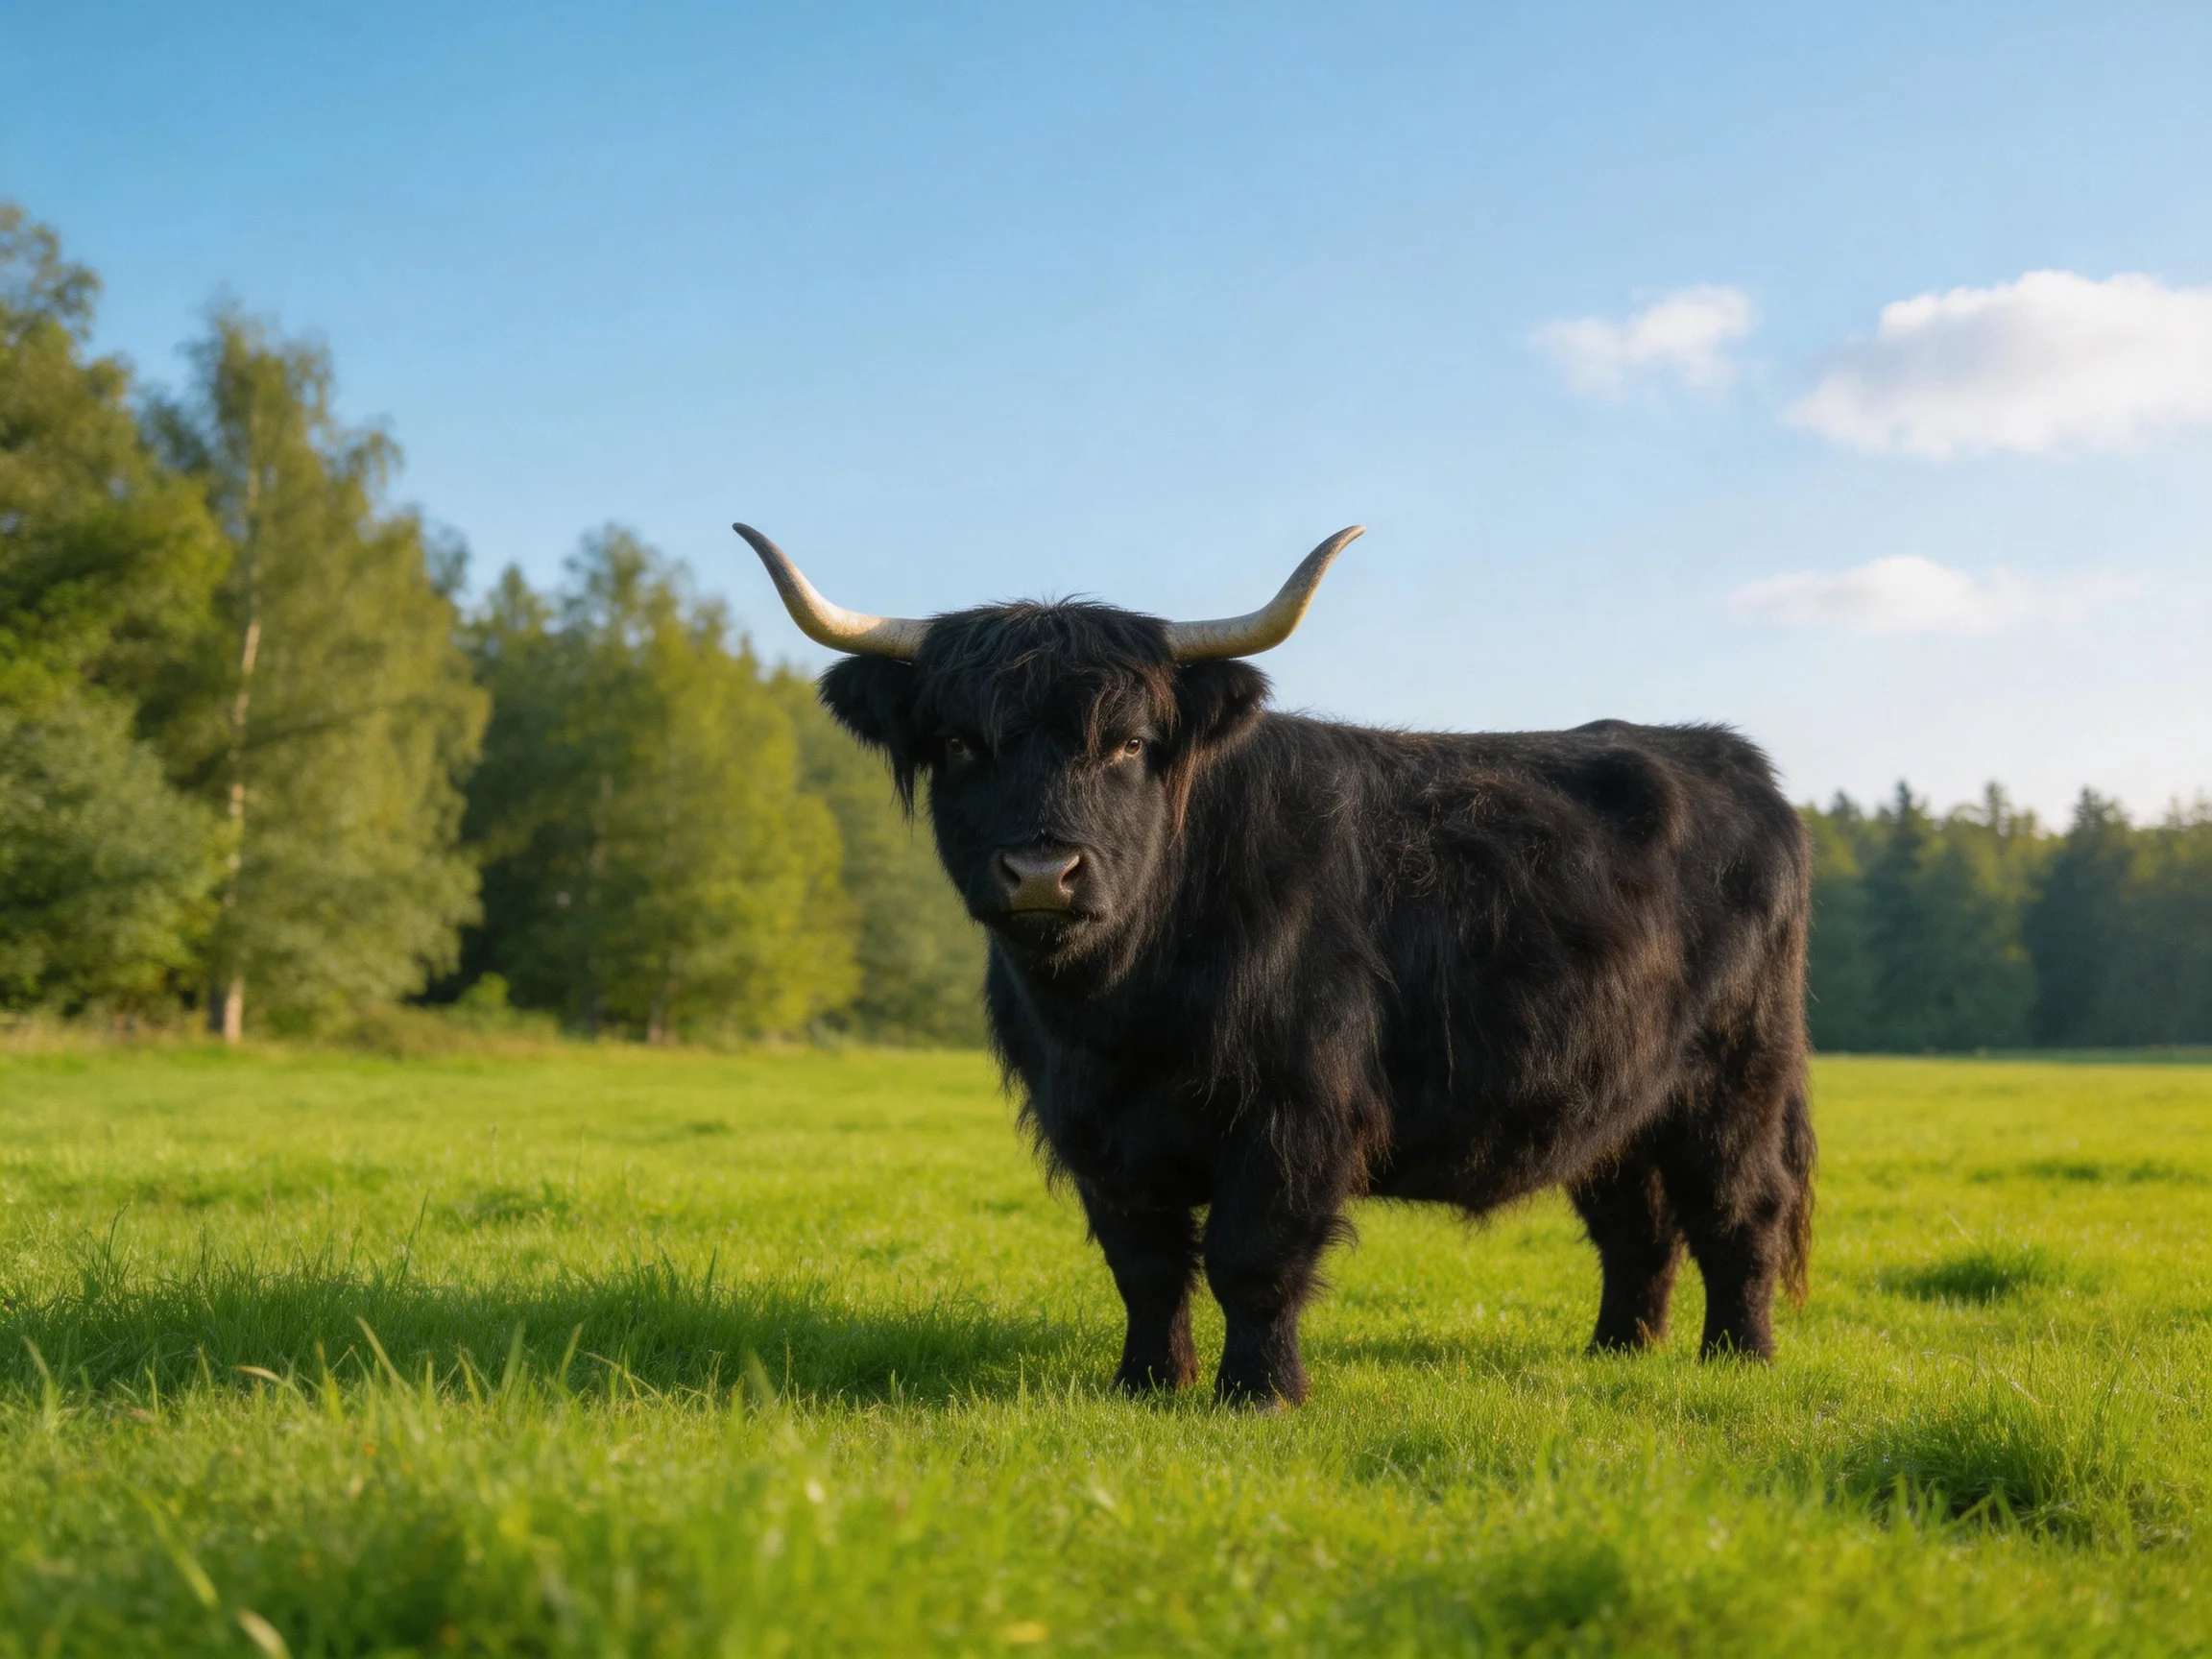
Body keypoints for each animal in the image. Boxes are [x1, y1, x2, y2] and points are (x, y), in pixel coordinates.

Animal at [739, 522, 1815, 1407]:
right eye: (963, 744)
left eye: (1130, 745)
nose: (1043, 870)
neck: (1114, 1013)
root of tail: (1732, 759)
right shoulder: (1089, 1125)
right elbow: (1146, 1264)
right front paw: (1146, 1383)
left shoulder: (1295, 1110)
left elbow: (1253, 1258)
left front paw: (1259, 1394)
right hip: (1617, 1095)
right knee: (1638, 1223)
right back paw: (1617, 1352)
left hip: (1734, 1076)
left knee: (1740, 1210)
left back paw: (1737, 1360)